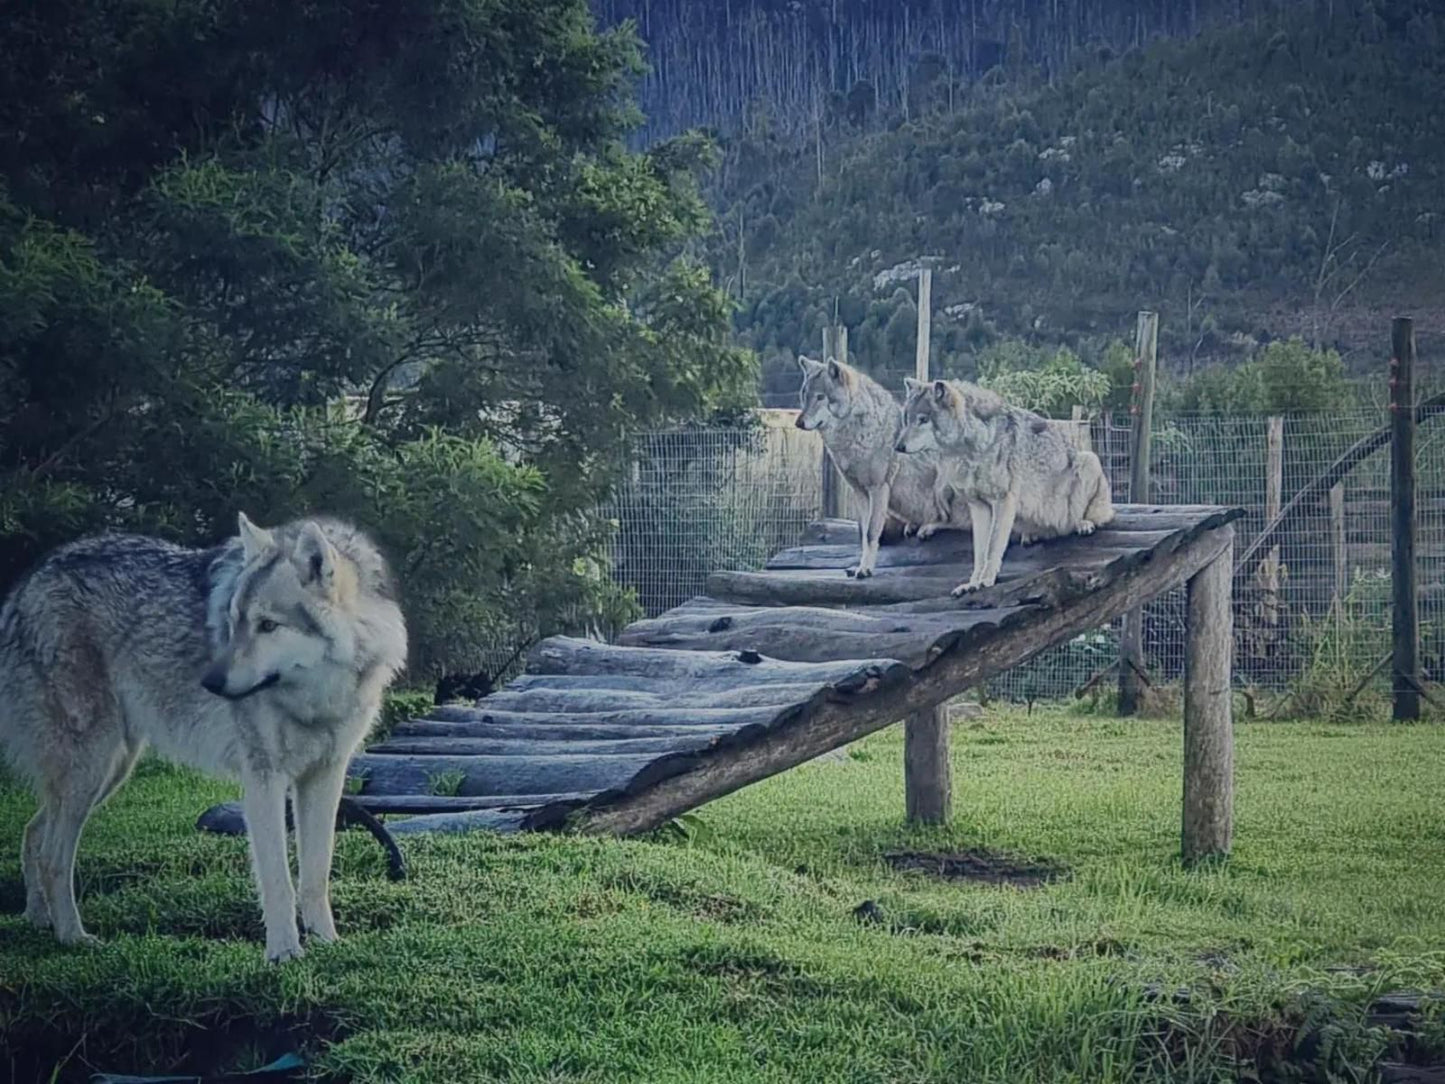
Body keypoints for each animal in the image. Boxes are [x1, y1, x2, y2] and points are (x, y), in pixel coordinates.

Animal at [1, 514, 407, 965]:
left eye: (268, 625)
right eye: (233, 621)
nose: (210, 682)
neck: (316, 698)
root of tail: (26, 586)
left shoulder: (324, 777)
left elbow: (316, 874)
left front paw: (326, 943)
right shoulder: (263, 779)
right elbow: (277, 880)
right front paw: (283, 953)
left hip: (107, 773)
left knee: (32, 834)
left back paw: (40, 921)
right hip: (92, 768)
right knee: (52, 856)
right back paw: (72, 937)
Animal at [791, 356, 959, 578]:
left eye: (820, 397)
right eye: (805, 395)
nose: (799, 422)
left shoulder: (878, 488)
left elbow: (871, 533)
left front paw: (865, 569)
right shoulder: (860, 492)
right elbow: (863, 534)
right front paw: (860, 566)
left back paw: (928, 526)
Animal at [890, 375, 1115, 595]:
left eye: (923, 420)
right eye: (906, 419)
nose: (898, 447)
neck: (970, 450)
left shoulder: (1002, 500)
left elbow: (992, 547)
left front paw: (985, 581)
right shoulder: (978, 506)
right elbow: (980, 553)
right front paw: (972, 583)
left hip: (1089, 460)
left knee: (1089, 518)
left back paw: (1083, 523)